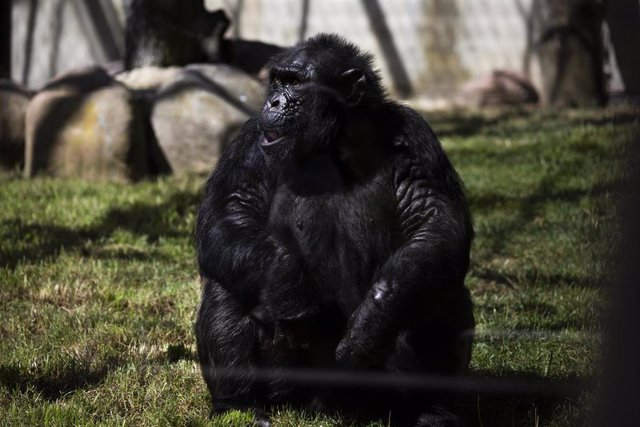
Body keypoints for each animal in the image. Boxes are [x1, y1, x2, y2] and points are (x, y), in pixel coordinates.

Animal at [196, 34, 476, 427]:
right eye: (278, 81)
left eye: (296, 83)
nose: (273, 101)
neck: (334, 143)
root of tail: (329, 407)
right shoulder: (249, 142)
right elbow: (231, 212)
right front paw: (287, 286)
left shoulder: (417, 137)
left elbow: (433, 222)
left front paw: (375, 316)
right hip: (289, 385)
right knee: (229, 282)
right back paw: (240, 406)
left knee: (435, 280)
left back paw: (432, 413)